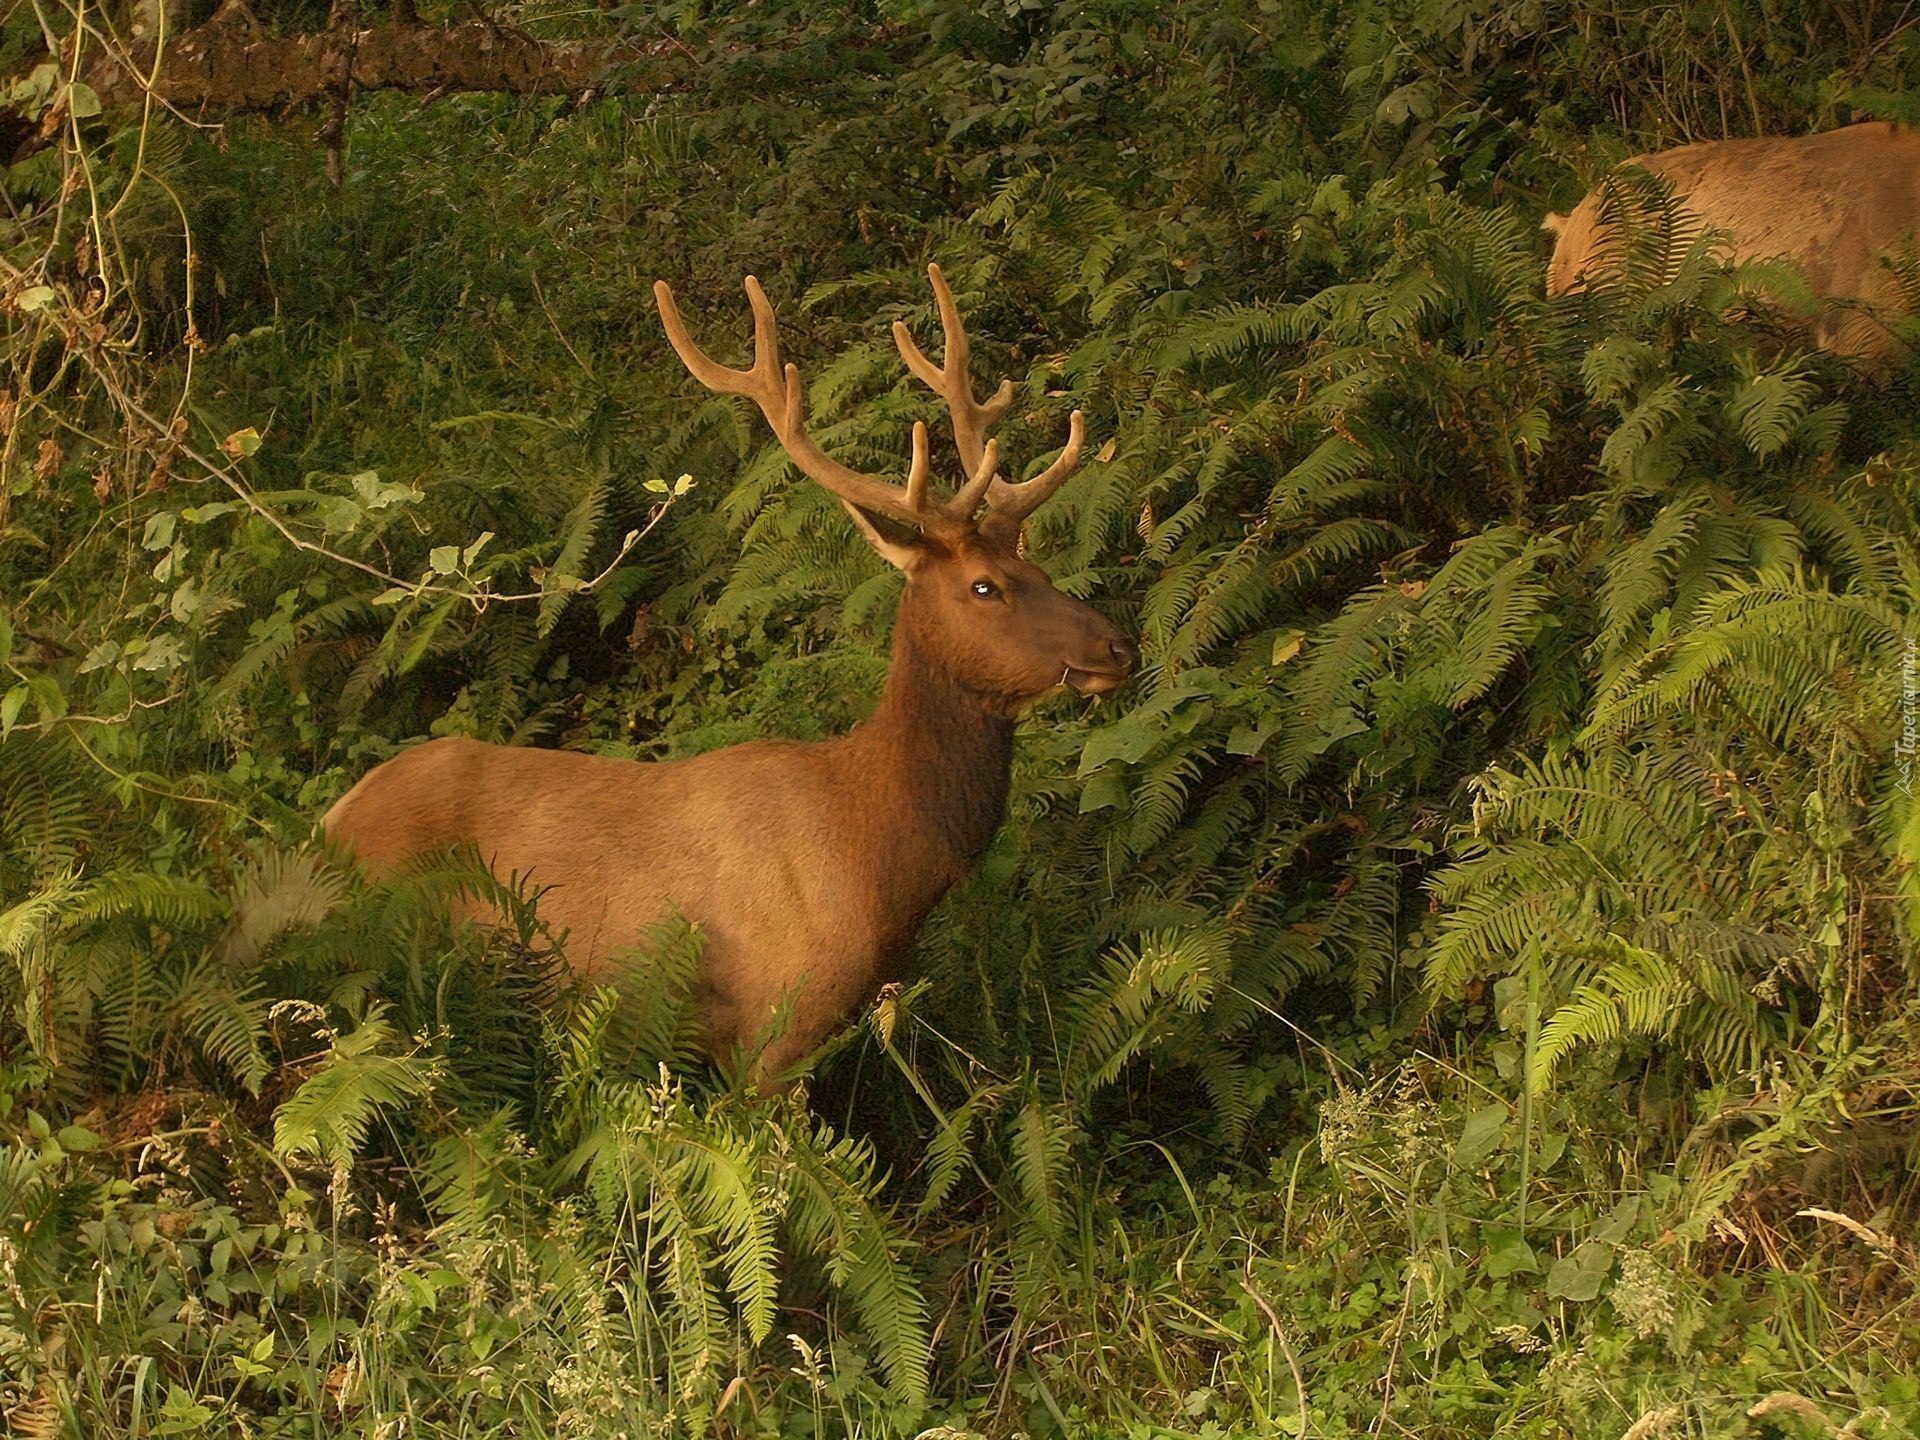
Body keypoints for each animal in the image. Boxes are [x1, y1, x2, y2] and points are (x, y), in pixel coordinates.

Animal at [326, 264, 1136, 1090]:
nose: (1117, 647)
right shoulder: (774, 1028)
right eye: (983, 586)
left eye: (1038, 568)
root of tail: (331, 823)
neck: (878, 855)